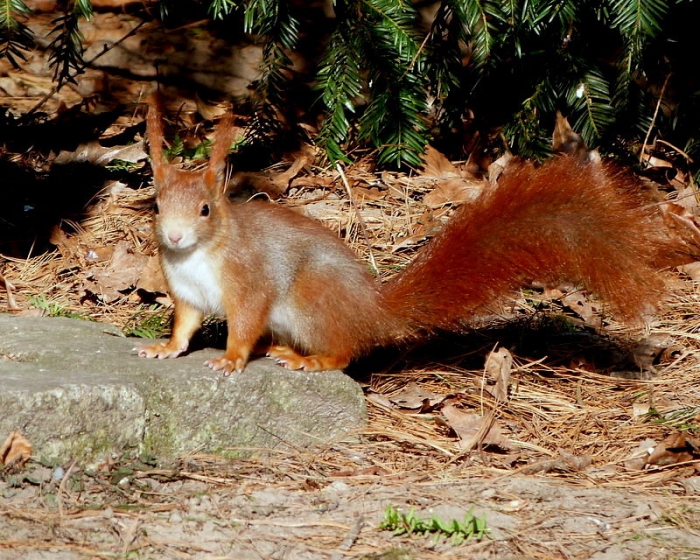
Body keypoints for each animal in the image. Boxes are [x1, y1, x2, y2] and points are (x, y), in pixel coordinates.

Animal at [136, 103, 696, 375]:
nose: (176, 235)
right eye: (156, 205)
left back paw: (309, 359)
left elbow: (245, 323)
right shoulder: (185, 292)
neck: (198, 256)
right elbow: (185, 325)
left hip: (313, 301)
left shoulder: (248, 281)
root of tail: (374, 312)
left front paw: (231, 358)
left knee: (345, 353)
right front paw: (165, 348)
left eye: (206, 209)